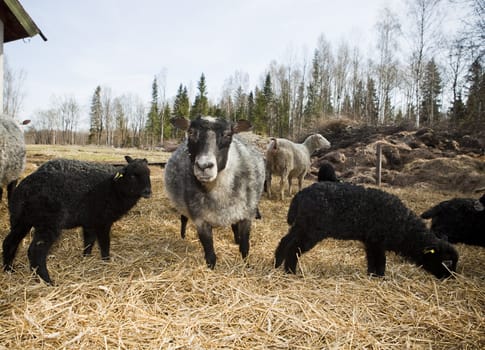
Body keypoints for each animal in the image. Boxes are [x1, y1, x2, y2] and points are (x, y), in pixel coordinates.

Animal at [2, 156, 151, 284]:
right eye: (132, 175)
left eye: (148, 173)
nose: (148, 191)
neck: (114, 187)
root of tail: (25, 189)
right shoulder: (103, 221)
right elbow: (104, 244)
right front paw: (106, 262)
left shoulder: (89, 222)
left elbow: (89, 241)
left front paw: (86, 259)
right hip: (48, 223)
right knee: (36, 251)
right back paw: (47, 281)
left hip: (20, 220)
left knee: (9, 242)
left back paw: (9, 270)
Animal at [274, 182, 456, 278]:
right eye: (446, 262)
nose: (450, 278)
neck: (404, 227)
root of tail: (300, 195)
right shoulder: (378, 241)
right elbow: (380, 260)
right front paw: (380, 277)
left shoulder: (371, 241)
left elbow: (372, 260)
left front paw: (371, 275)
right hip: (312, 230)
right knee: (293, 248)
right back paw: (290, 272)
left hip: (301, 225)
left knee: (285, 241)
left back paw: (277, 264)